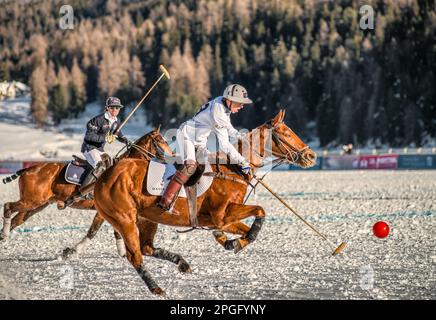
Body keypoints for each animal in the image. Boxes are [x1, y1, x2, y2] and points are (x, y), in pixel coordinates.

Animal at [0, 127, 174, 255]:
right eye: (160, 140)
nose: (173, 156)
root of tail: (29, 168)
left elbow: (115, 232)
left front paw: (123, 253)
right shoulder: (104, 211)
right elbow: (93, 232)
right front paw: (71, 252)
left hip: (36, 205)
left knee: (17, 220)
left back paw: (3, 238)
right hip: (31, 200)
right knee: (8, 206)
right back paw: (4, 234)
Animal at [93, 110, 316, 296]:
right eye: (286, 133)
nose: (311, 156)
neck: (232, 169)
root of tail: (104, 176)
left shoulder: (219, 219)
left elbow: (247, 230)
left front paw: (231, 241)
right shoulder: (222, 215)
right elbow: (260, 210)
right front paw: (233, 241)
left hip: (147, 218)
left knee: (146, 247)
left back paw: (182, 263)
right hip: (124, 219)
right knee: (135, 256)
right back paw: (157, 288)